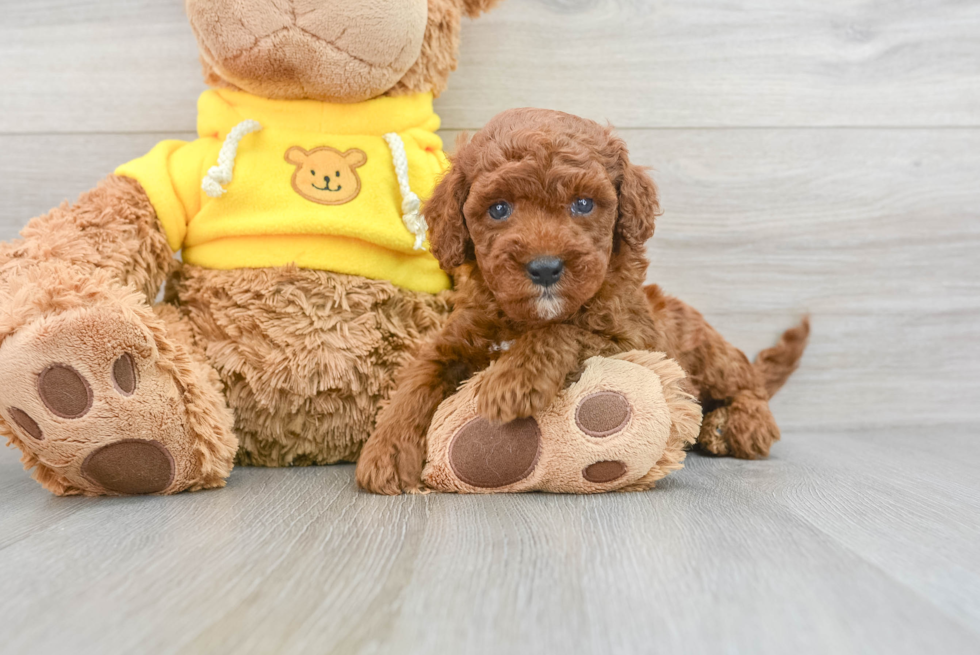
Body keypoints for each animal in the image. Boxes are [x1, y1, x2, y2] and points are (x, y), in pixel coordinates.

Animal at [356, 109, 808, 498]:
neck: (525, 320)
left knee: (747, 383)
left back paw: (740, 425)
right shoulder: (455, 338)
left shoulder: (635, 340)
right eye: (499, 209)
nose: (544, 268)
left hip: (703, 350)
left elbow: (568, 329)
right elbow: (418, 380)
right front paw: (385, 453)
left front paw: (512, 380)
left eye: (583, 204)